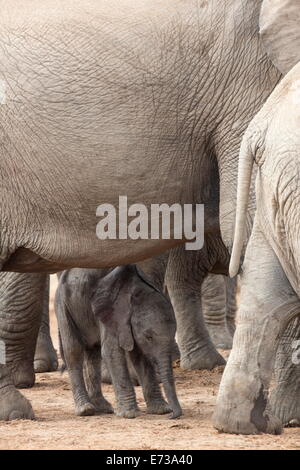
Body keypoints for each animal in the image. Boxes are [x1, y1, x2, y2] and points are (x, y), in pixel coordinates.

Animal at [55, 264, 182, 418]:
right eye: (149, 337)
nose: (171, 415)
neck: (136, 290)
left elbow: (139, 356)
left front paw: (161, 410)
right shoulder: (112, 314)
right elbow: (112, 352)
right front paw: (130, 414)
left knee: (93, 353)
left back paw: (102, 407)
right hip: (64, 304)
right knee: (73, 350)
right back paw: (86, 410)